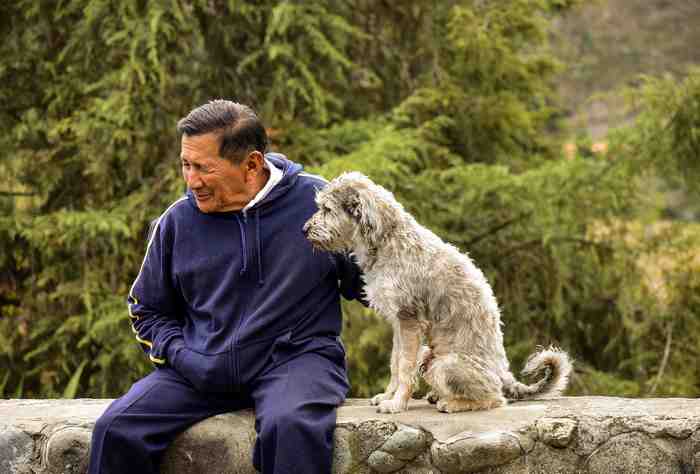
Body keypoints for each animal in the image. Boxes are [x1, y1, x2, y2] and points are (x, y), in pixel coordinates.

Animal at [304, 172, 572, 412]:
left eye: (327, 209)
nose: (305, 229)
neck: (387, 240)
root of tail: (503, 374)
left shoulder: (409, 320)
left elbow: (404, 368)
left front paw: (396, 404)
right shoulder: (399, 324)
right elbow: (395, 363)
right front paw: (388, 396)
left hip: (444, 366)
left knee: (494, 399)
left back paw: (451, 403)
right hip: (428, 354)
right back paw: (437, 396)